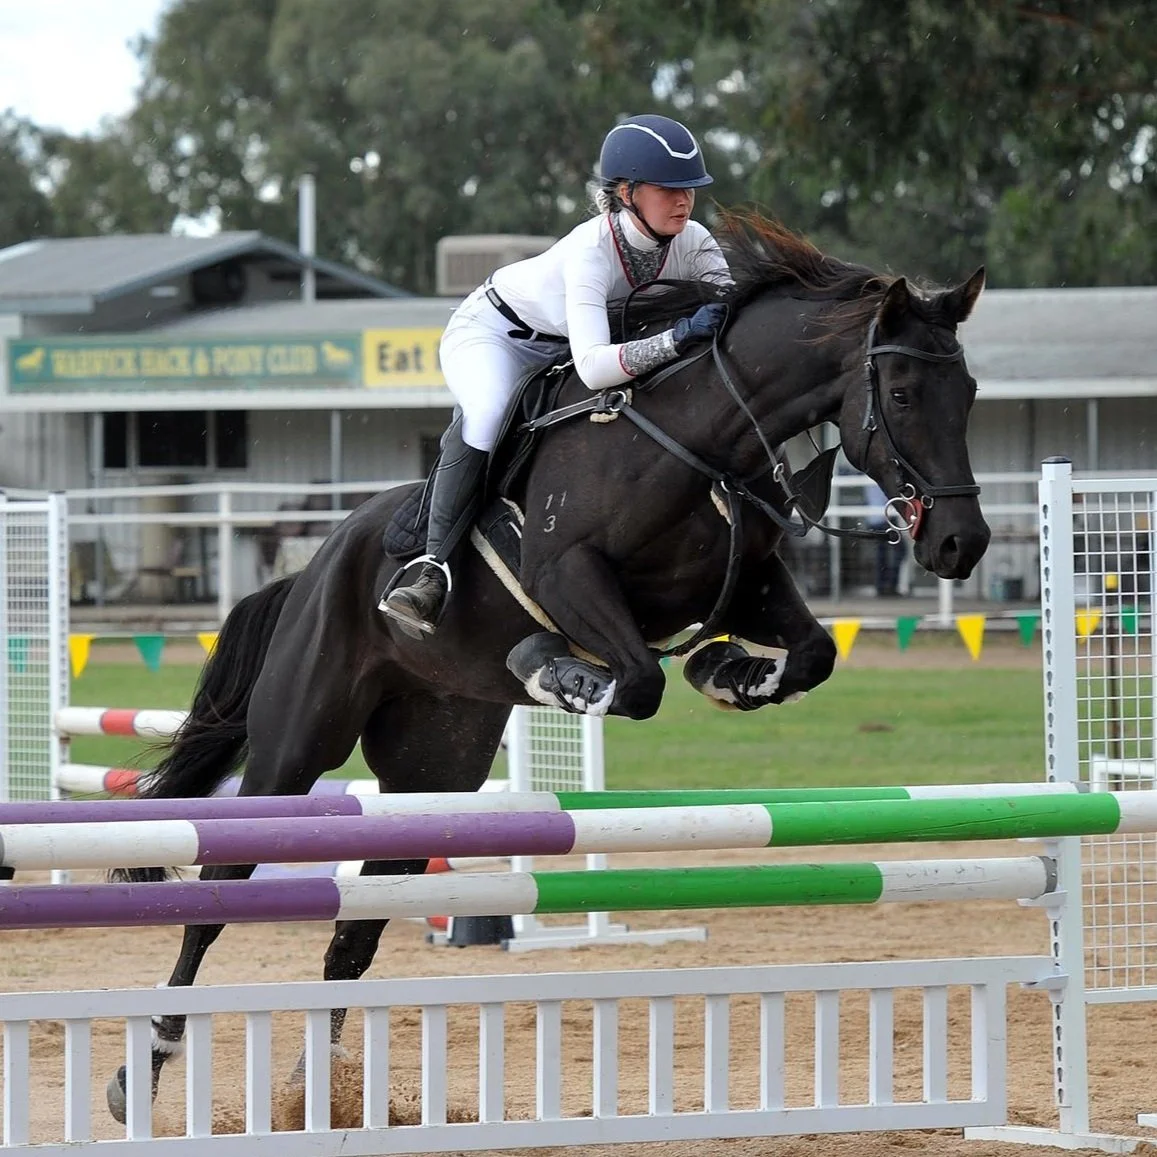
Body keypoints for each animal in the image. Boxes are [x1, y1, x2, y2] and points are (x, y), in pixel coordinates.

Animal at [105, 211, 990, 1119]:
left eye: (968, 395)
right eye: (901, 394)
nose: (961, 544)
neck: (699, 439)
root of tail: (313, 568)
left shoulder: (746, 584)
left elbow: (808, 653)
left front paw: (727, 673)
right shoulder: (569, 577)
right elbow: (637, 681)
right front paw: (554, 670)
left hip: (433, 772)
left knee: (354, 931)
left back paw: (322, 1096)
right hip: (294, 745)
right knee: (216, 893)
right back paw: (143, 1071)